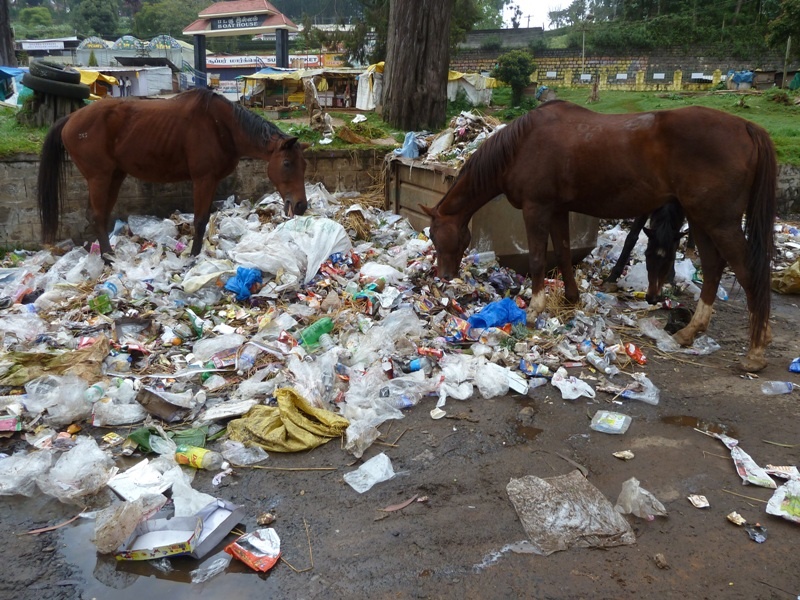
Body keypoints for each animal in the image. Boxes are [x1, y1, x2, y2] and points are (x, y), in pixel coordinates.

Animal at [36, 88, 310, 256]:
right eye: (287, 164)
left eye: (304, 165)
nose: (300, 206)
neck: (223, 127)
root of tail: (69, 119)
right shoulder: (203, 180)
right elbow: (200, 220)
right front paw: (194, 256)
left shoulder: (210, 181)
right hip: (99, 178)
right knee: (96, 215)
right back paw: (107, 257)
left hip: (114, 176)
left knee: (98, 215)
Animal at [424, 99, 776, 370]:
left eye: (437, 235)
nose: (444, 276)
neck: (521, 145)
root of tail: (748, 127)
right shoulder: (558, 210)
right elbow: (563, 252)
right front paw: (571, 298)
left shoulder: (537, 208)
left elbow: (538, 258)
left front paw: (535, 309)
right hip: (702, 220)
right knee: (714, 267)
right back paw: (689, 332)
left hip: (718, 221)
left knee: (748, 272)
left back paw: (756, 351)